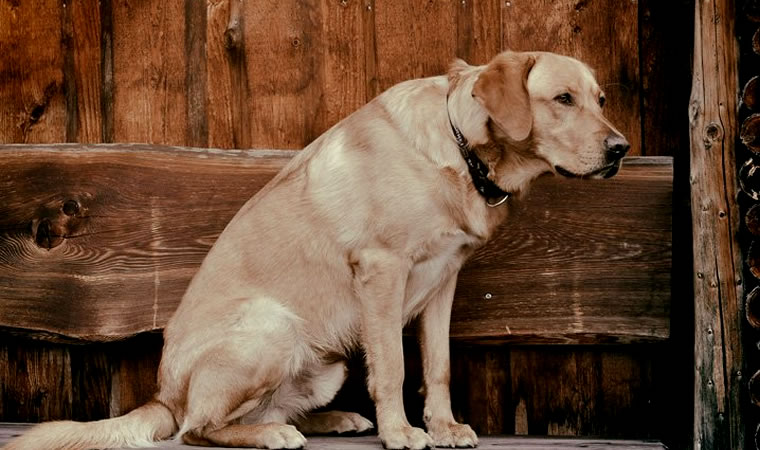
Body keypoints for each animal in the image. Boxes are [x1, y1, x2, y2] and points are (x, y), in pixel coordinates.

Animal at [5, 50, 628, 450]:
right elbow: (394, 367)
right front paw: (403, 433)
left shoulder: (443, 281)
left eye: (600, 99)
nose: (621, 148)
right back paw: (272, 434)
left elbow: (438, 366)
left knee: (264, 409)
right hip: (271, 326)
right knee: (197, 429)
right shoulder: (382, 270)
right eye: (563, 99)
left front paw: (444, 427)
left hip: (324, 362)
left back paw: (329, 421)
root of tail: (163, 395)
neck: (461, 147)